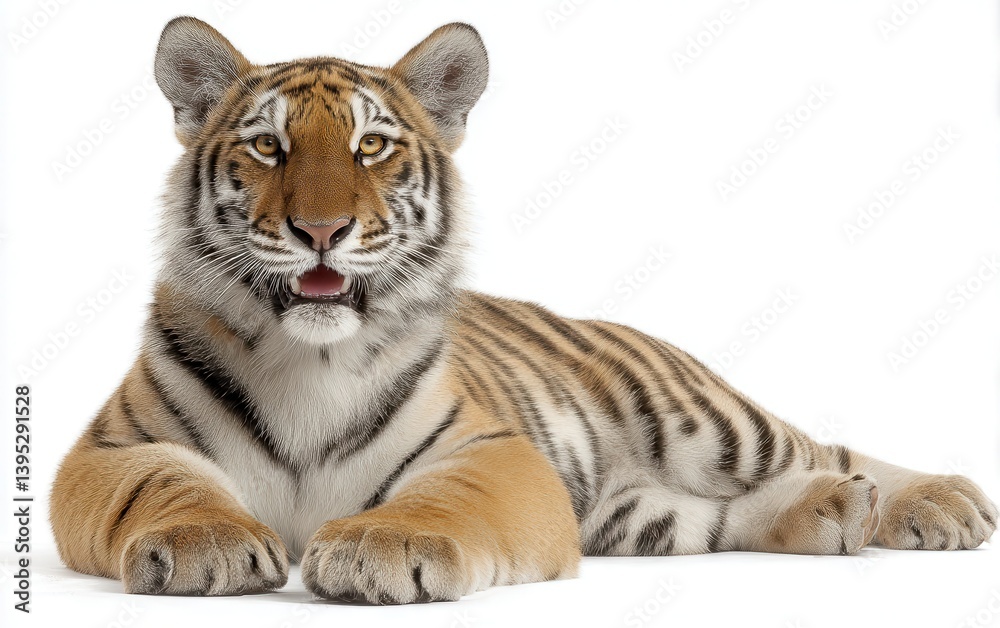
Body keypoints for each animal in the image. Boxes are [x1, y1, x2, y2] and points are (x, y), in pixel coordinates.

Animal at [50, 16, 997, 603]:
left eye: (371, 145)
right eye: (267, 146)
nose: (320, 230)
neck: (308, 357)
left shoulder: (494, 451)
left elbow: (442, 499)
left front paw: (379, 547)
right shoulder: (109, 449)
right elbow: (164, 479)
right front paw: (207, 544)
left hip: (709, 420)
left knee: (824, 446)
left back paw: (938, 502)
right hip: (639, 515)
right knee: (726, 513)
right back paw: (839, 512)